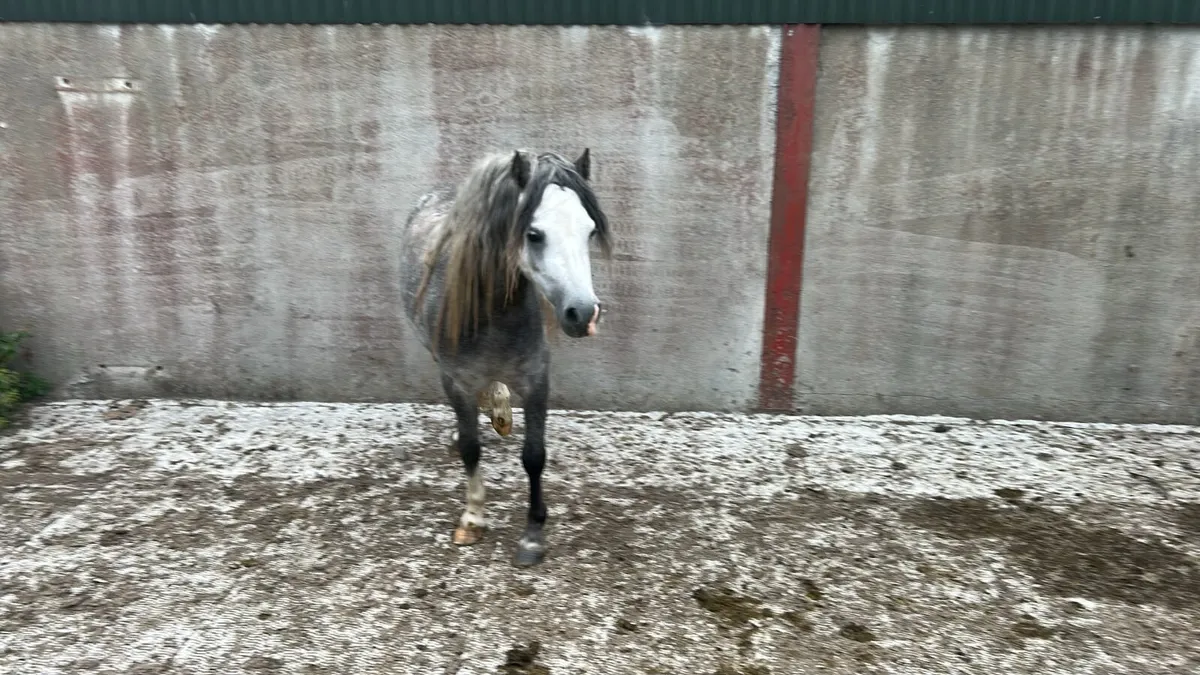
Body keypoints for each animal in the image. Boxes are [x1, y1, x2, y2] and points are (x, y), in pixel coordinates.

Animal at [399, 148, 612, 567]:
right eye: (534, 234)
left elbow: (534, 455)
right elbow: (470, 448)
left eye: (590, 231)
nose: (583, 314)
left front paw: (532, 536)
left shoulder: (536, 380)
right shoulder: (457, 382)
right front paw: (473, 518)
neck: (492, 312)